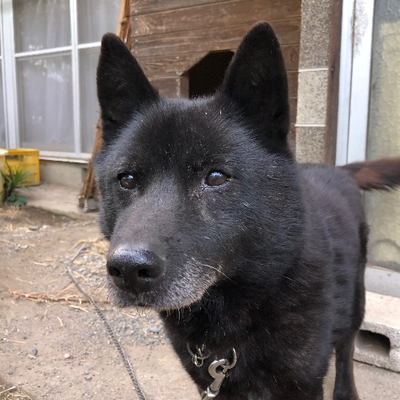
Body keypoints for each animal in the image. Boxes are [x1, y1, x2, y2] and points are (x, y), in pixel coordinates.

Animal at [94, 22, 400, 400]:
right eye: (127, 179)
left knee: (347, 346)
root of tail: (338, 169)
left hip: (356, 299)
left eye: (215, 177)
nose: (128, 269)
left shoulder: (303, 384)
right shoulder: (212, 383)